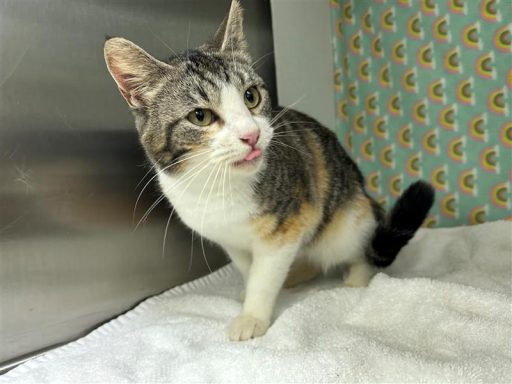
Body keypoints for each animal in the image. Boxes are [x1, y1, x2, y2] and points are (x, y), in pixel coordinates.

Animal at [103, 0, 432, 342]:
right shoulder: (230, 240)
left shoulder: (288, 225)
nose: (251, 135)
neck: (218, 186)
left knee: (361, 251)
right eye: (200, 116)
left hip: (348, 221)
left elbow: (265, 274)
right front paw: (250, 292)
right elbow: (250, 268)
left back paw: (356, 280)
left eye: (251, 96)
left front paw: (252, 316)